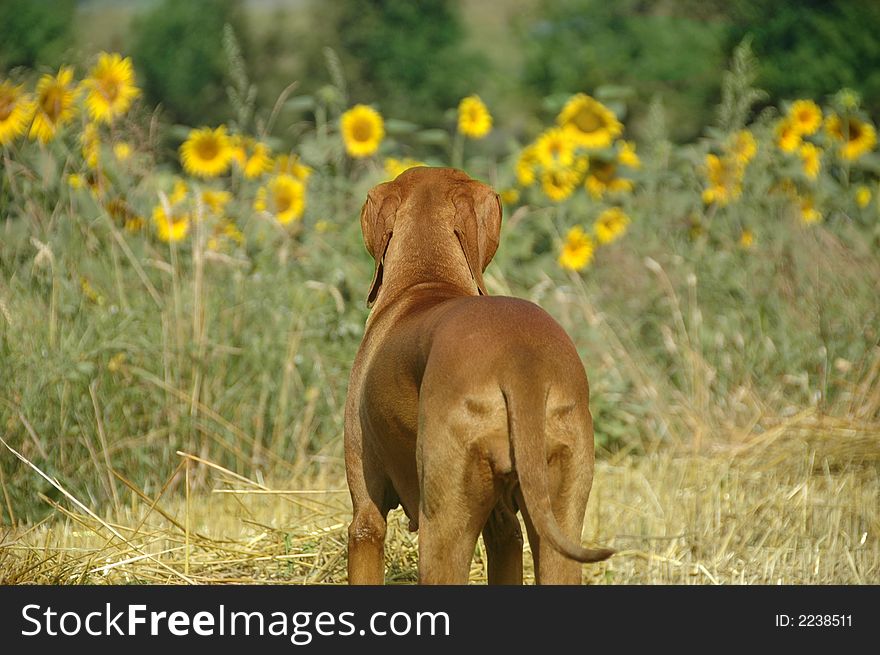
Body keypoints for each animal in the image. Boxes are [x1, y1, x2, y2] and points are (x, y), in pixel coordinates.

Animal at [344, 165, 612, 584]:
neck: (426, 281)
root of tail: (521, 363)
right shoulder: (504, 530)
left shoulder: (366, 520)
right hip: (560, 518)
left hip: (443, 524)